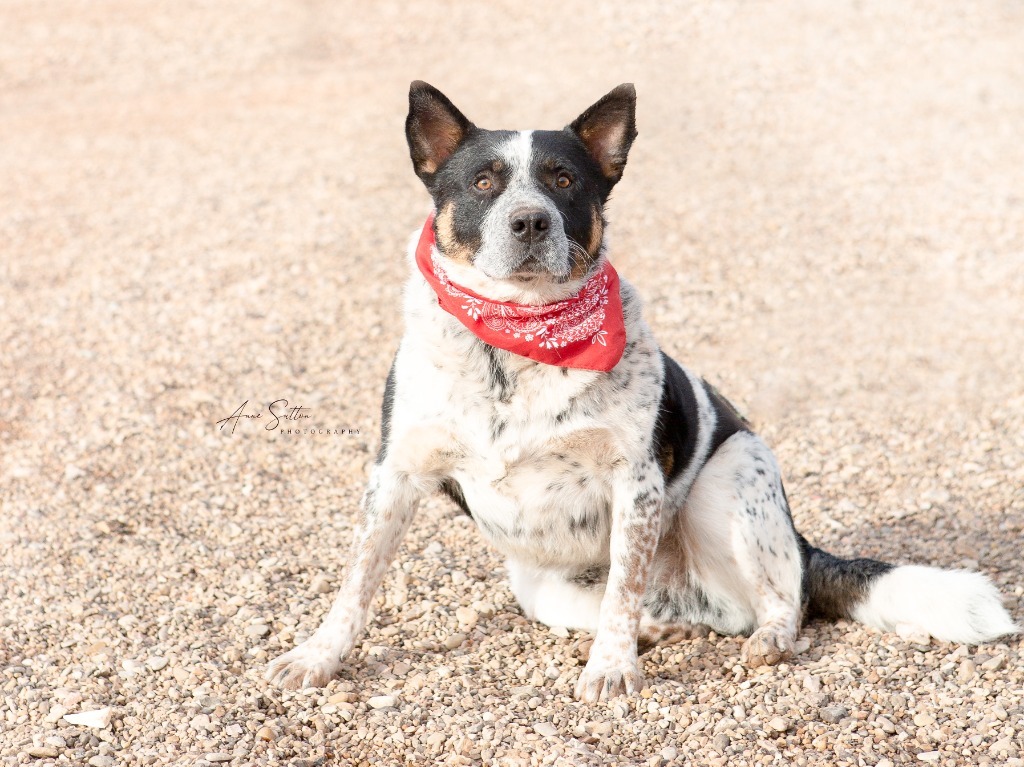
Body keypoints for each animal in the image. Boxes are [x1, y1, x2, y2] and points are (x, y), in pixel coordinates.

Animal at [268, 82, 1019, 700]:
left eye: (564, 179)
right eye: (482, 182)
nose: (531, 221)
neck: (514, 345)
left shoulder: (636, 481)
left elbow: (624, 588)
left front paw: (611, 670)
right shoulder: (393, 475)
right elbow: (357, 581)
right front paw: (318, 656)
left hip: (732, 483)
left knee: (777, 601)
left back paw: (763, 641)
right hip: (538, 584)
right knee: (645, 609)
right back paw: (663, 630)